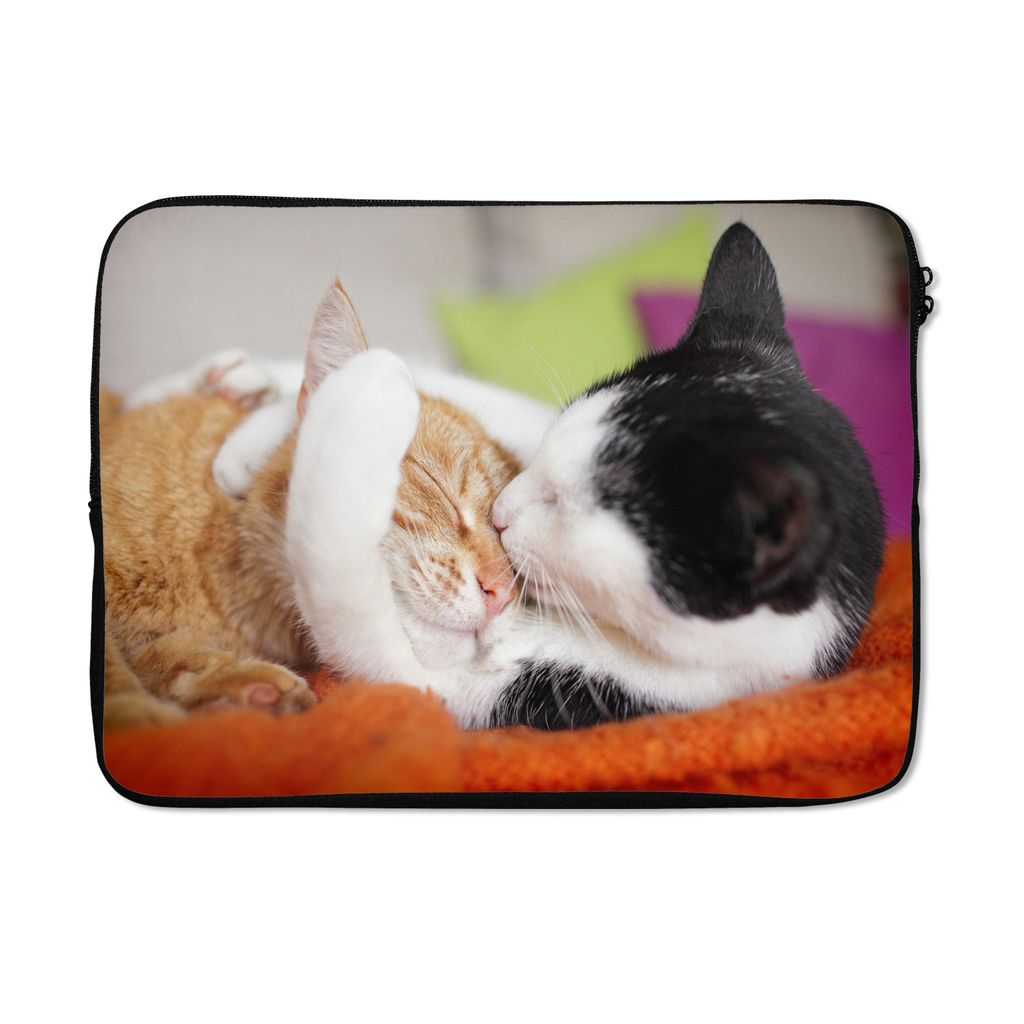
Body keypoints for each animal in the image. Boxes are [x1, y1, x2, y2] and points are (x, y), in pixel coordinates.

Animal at [102, 282, 545, 731]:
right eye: (442, 487)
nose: (502, 594)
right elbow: (116, 672)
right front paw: (140, 714)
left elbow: (171, 658)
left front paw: (236, 688)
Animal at [240, 223, 885, 728]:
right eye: (545, 457)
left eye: (572, 507)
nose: (502, 513)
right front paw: (280, 393)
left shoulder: (527, 697)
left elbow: (341, 576)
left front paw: (360, 399)